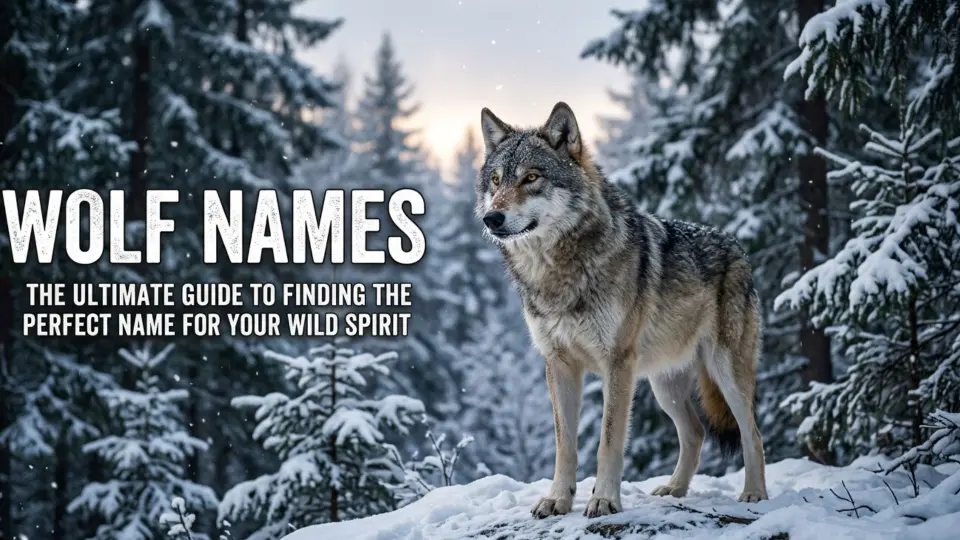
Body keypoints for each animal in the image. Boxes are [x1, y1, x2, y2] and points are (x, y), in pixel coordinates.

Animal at [475, 102, 768, 518]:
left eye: (531, 177)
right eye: (496, 181)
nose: (492, 218)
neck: (556, 272)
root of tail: (737, 247)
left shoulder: (616, 364)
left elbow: (609, 440)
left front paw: (604, 499)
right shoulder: (559, 363)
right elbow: (565, 445)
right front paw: (557, 499)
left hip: (725, 371)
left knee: (751, 433)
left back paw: (754, 494)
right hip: (664, 386)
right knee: (695, 433)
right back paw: (674, 490)